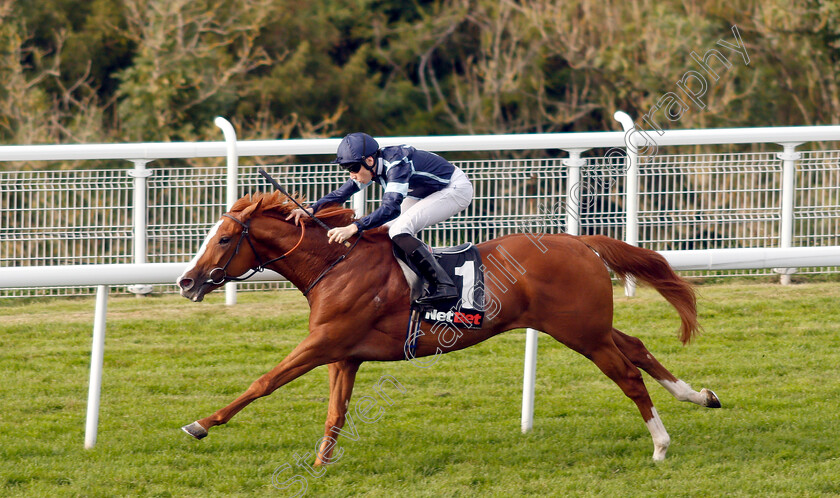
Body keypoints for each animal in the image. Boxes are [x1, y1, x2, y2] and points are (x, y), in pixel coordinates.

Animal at [177, 192, 720, 462]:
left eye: (222, 239)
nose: (186, 281)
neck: (336, 263)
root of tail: (580, 242)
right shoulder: (344, 353)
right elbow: (335, 413)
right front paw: (319, 466)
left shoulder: (323, 342)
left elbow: (263, 382)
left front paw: (201, 424)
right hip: (589, 327)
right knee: (638, 347)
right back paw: (699, 396)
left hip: (580, 332)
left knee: (627, 374)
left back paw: (661, 445)